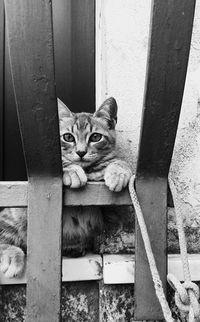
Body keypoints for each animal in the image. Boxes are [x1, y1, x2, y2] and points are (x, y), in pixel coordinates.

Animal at [0, 97, 132, 278]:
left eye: (96, 137)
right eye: (68, 137)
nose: (81, 152)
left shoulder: (108, 210)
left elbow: (117, 161)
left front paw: (118, 172)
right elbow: (59, 164)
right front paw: (72, 170)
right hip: (16, 214)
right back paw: (12, 256)